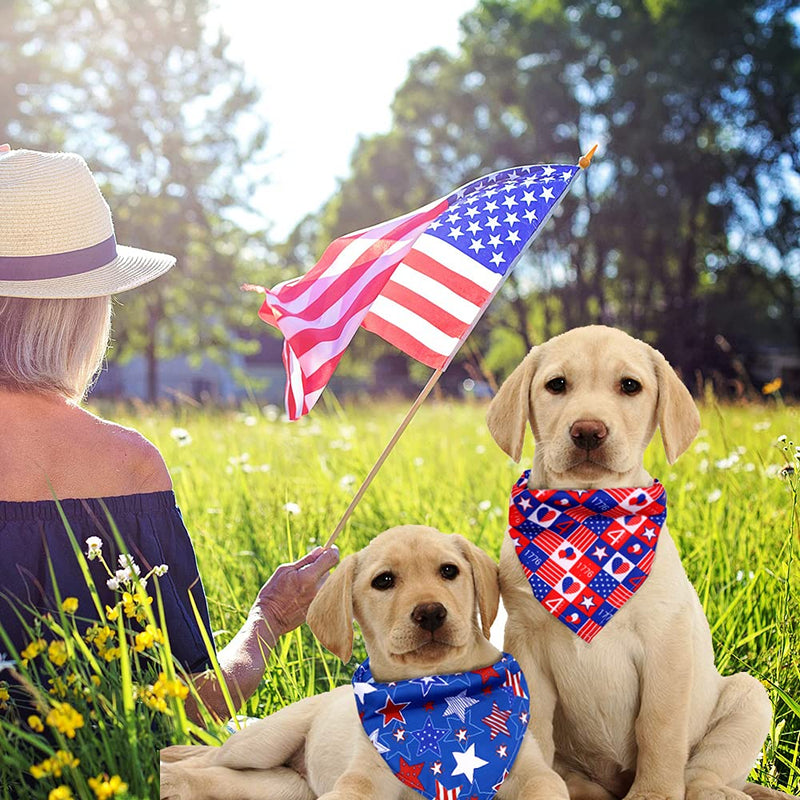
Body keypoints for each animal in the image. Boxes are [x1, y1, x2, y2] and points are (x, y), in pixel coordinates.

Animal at [161, 528, 568, 800]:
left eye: (449, 571)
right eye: (384, 581)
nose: (431, 613)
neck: (435, 691)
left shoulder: (533, 771)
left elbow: (545, 785)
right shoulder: (362, 780)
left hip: (282, 787)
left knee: (213, 775)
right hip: (262, 742)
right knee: (205, 759)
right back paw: (165, 771)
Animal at [488, 324, 780, 800]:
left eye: (629, 386)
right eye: (556, 385)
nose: (588, 432)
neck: (588, 514)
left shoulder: (665, 642)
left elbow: (658, 727)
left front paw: (653, 793)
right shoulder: (524, 643)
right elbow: (533, 732)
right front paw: (535, 785)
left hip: (748, 695)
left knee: (701, 774)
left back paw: (718, 791)